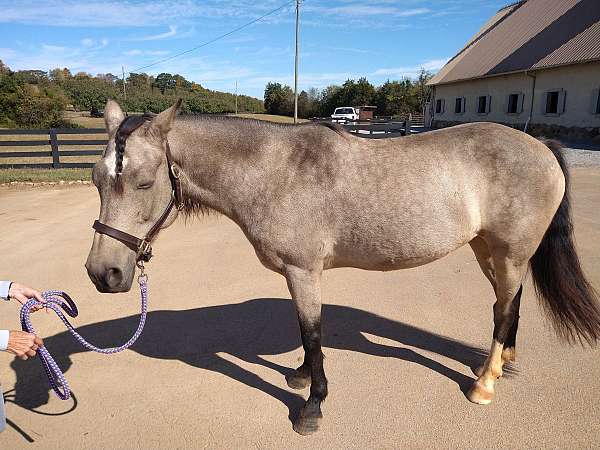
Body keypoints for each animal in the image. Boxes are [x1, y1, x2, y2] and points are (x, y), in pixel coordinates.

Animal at [84, 100, 600, 434]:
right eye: (96, 180)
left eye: (143, 182)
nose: (103, 274)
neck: (273, 171)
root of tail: (540, 145)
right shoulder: (300, 275)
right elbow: (305, 333)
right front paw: (300, 376)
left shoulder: (303, 271)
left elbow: (312, 332)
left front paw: (312, 405)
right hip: (487, 249)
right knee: (506, 305)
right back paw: (500, 363)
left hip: (509, 252)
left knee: (505, 309)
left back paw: (484, 385)